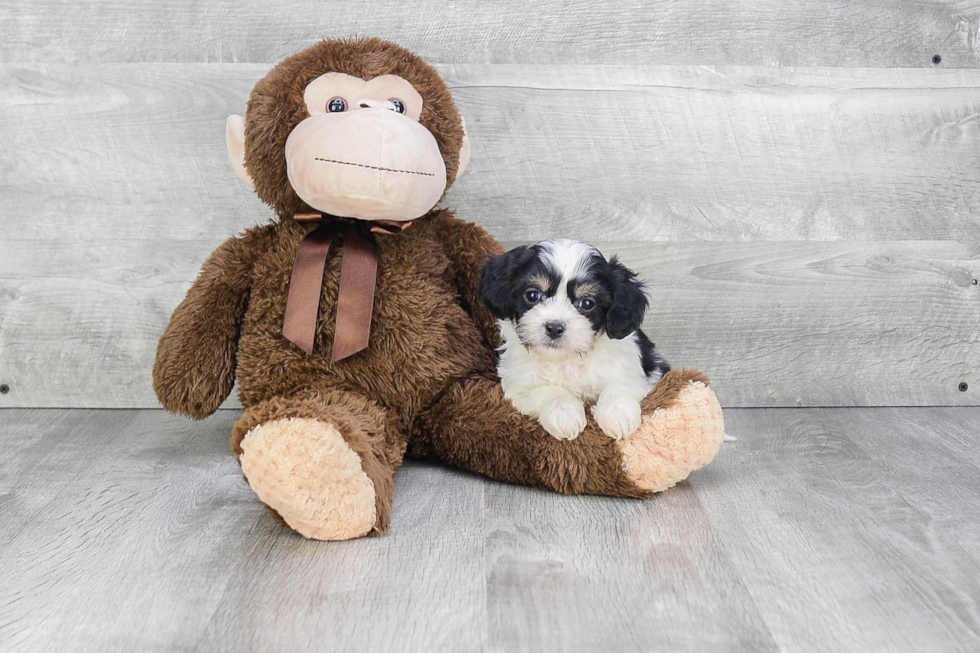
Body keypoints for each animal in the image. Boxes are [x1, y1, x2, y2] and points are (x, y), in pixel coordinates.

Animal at [478, 237, 668, 440]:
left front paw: (618, 416)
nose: (554, 327)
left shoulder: (638, 375)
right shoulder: (518, 386)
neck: (565, 359)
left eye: (587, 303)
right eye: (532, 295)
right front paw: (565, 415)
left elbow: (618, 386)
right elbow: (549, 390)